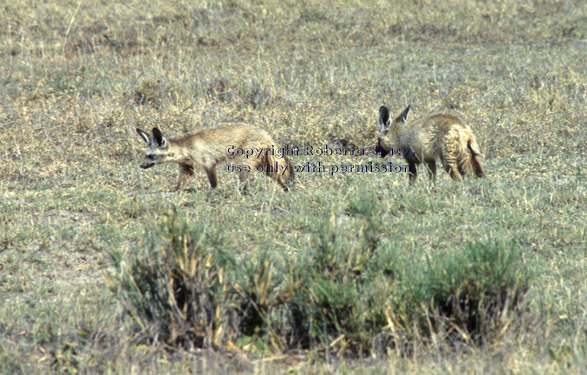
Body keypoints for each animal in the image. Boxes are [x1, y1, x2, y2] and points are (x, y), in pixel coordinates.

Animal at [137, 124, 294, 192]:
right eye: (145, 155)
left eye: (150, 156)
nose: (141, 165)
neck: (186, 147)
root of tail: (264, 133)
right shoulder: (186, 167)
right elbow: (181, 182)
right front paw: (176, 191)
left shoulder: (209, 163)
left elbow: (213, 183)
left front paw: (213, 191)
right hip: (265, 167)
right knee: (279, 176)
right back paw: (286, 188)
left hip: (244, 164)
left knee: (244, 182)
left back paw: (243, 192)